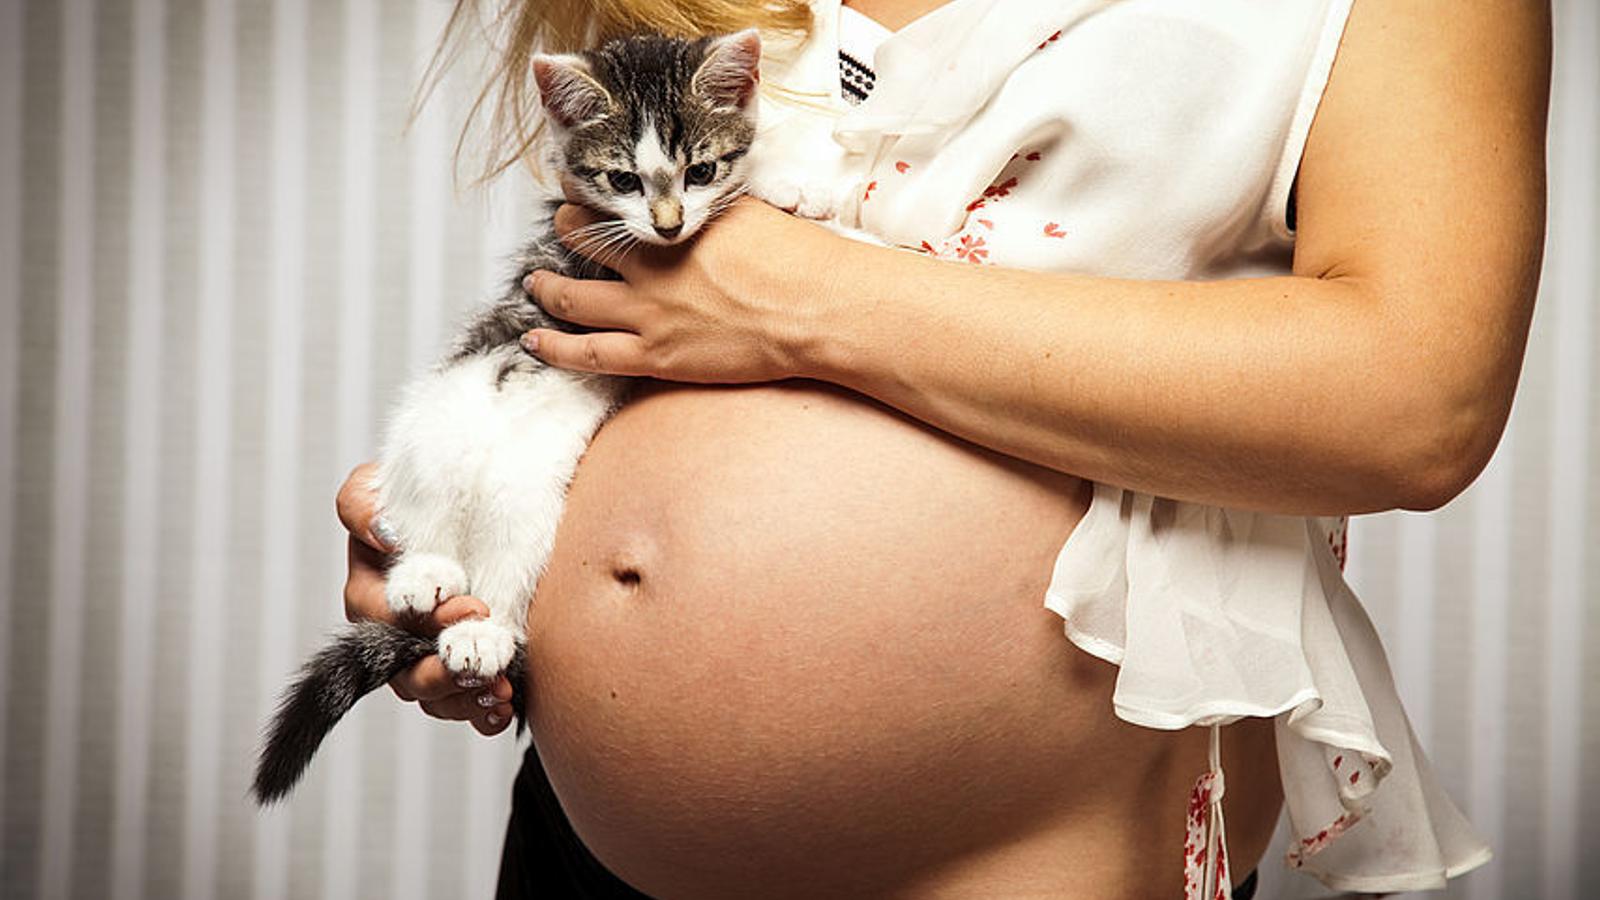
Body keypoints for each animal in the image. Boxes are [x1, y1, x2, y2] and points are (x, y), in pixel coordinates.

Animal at [251, 29, 768, 797]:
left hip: (528, 495)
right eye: (624, 181)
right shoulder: (584, 253)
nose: (671, 226)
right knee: (424, 508)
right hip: (433, 423)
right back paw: (428, 578)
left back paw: (476, 626)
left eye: (700, 170)